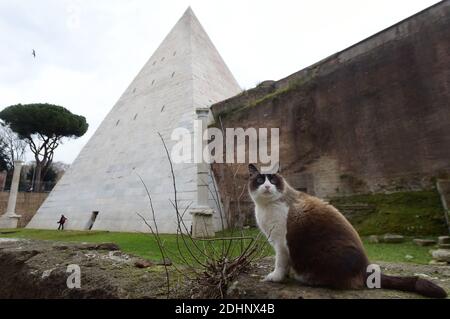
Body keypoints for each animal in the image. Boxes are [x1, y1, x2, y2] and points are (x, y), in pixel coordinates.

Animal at [248, 165, 448, 300]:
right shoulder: (278, 243)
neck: (265, 206)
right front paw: (285, 276)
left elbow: (280, 263)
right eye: (260, 180)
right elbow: (285, 264)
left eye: (273, 180)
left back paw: (309, 279)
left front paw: (275, 278)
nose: (267, 187)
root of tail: (367, 266)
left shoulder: (281, 243)